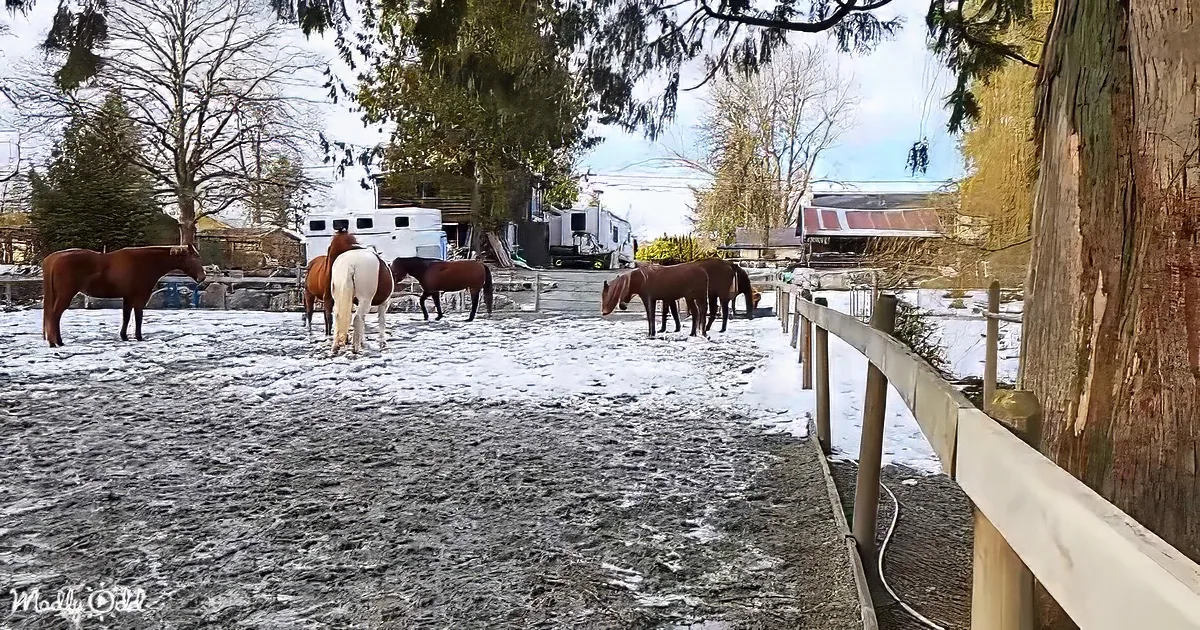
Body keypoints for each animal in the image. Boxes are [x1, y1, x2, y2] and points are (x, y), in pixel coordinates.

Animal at [40, 244, 206, 347]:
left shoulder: (128, 297)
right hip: (65, 295)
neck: (145, 262)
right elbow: (138, 317)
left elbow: (126, 316)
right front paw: (139, 337)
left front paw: (124, 336)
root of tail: (53, 259)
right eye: (194, 258)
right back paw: (56, 342)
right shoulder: (139, 297)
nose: (202, 277)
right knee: (55, 316)